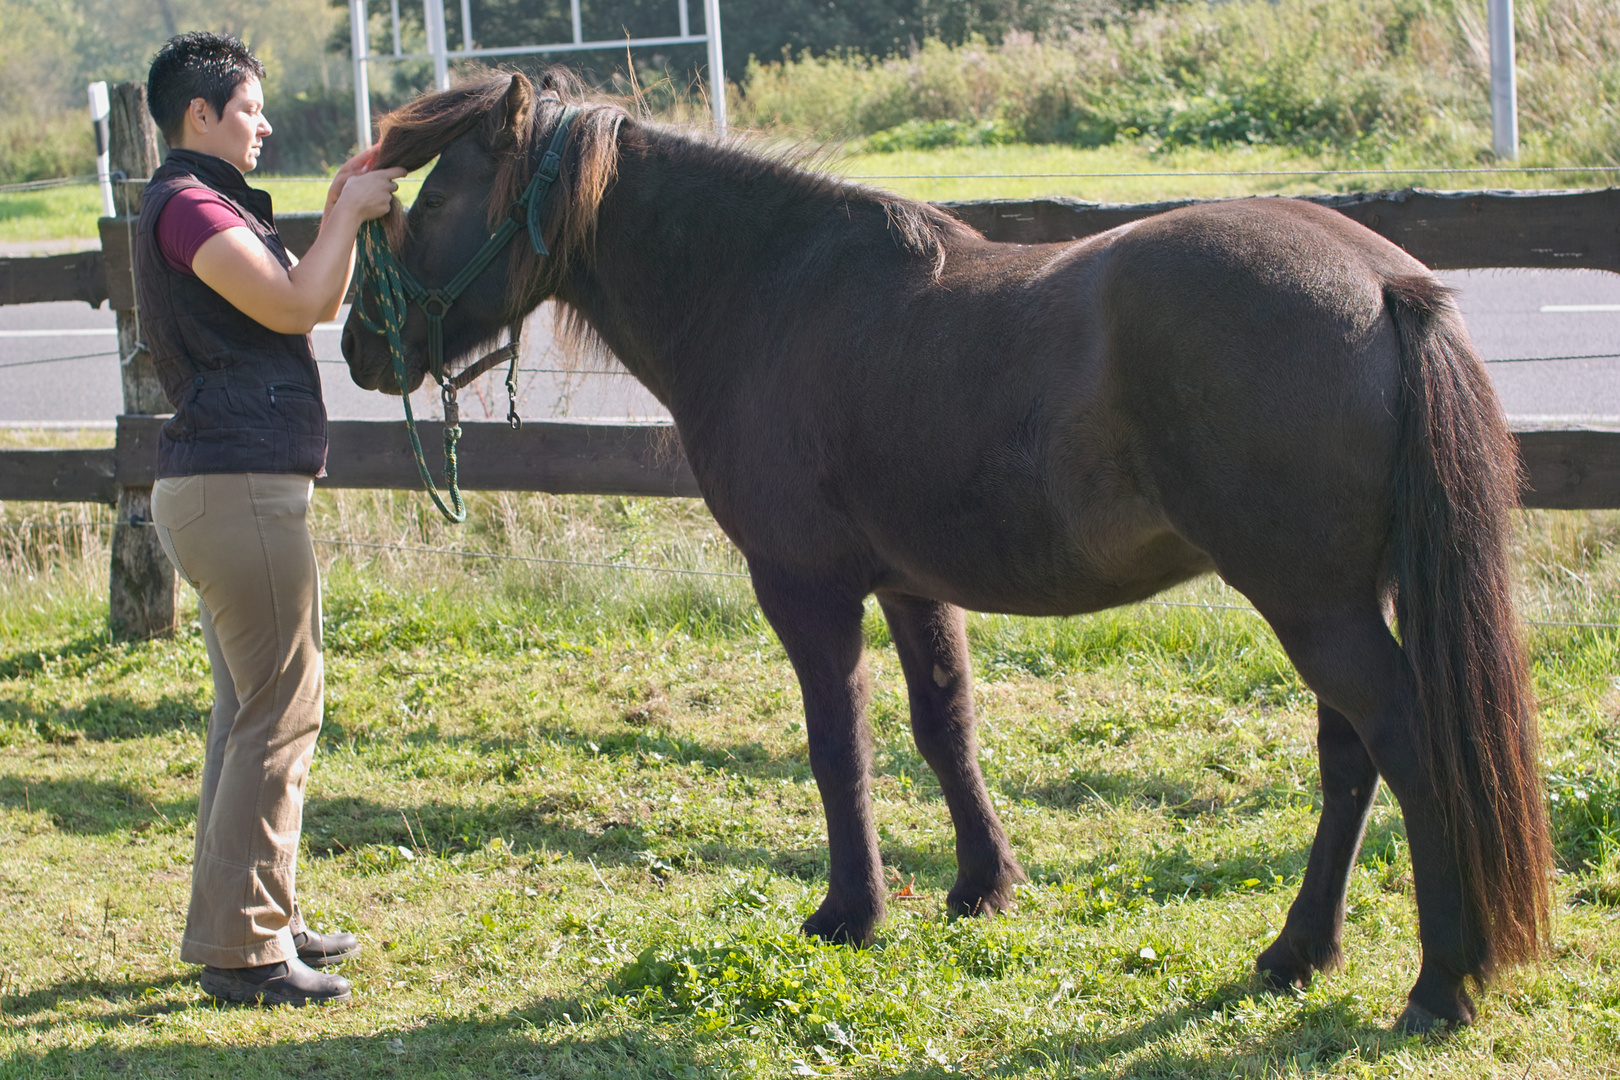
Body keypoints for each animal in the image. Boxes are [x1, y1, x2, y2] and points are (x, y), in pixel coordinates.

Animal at [345, 67, 1555, 1029]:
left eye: (437, 195)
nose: (359, 344)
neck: (769, 292)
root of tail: (1385, 283)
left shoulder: (807, 589)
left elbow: (840, 746)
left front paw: (851, 911)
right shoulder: (911, 587)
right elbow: (944, 729)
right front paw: (982, 885)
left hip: (1315, 606)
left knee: (1405, 745)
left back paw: (1441, 982)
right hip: (1339, 599)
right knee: (1351, 759)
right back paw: (1300, 952)